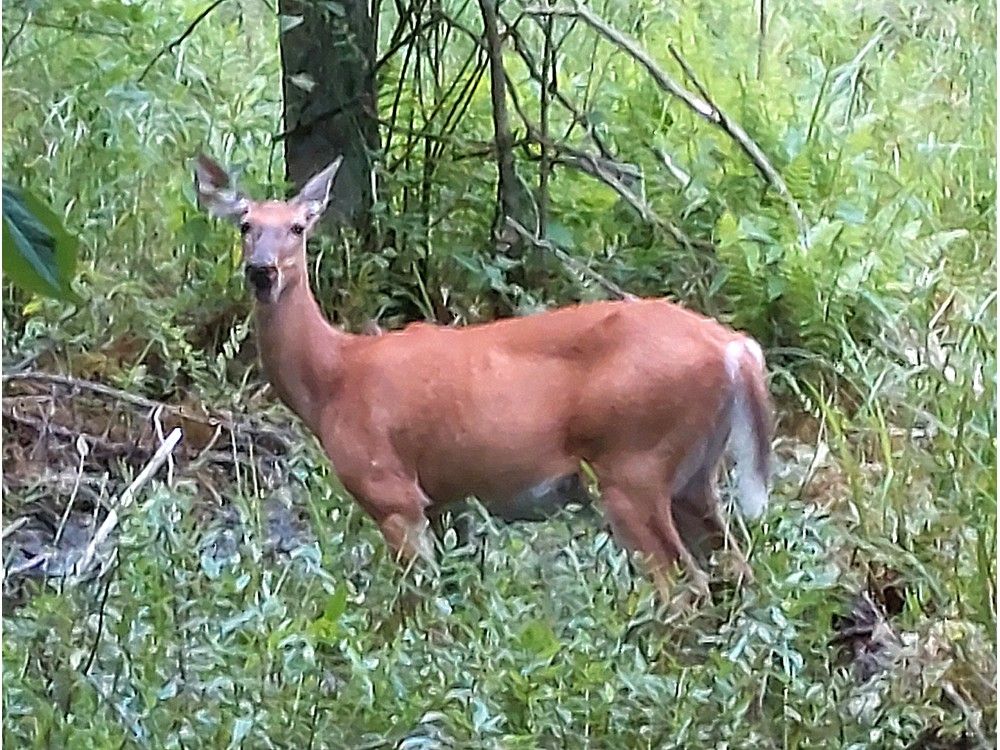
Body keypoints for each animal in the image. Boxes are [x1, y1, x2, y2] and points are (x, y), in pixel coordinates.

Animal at [193, 153, 773, 604]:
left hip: (633, 462)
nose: (262, 271)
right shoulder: (447, 502)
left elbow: (417, 603)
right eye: (245, 224)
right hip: (692, 475)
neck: (335, 377)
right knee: (737, 571)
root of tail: (734, 349)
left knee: (684, 588)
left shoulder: (390, 488)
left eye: (298, 227)